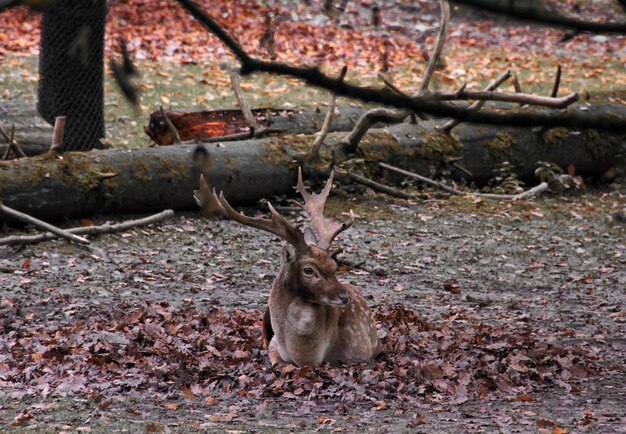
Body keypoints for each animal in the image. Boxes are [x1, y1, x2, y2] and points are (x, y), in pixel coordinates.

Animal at [194, 170, 380, 366]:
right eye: (308, 270)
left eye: (334, 265)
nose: (344, 298)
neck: (307, 356)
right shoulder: (274, 345)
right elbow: (276, 362)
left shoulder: (361, 349)